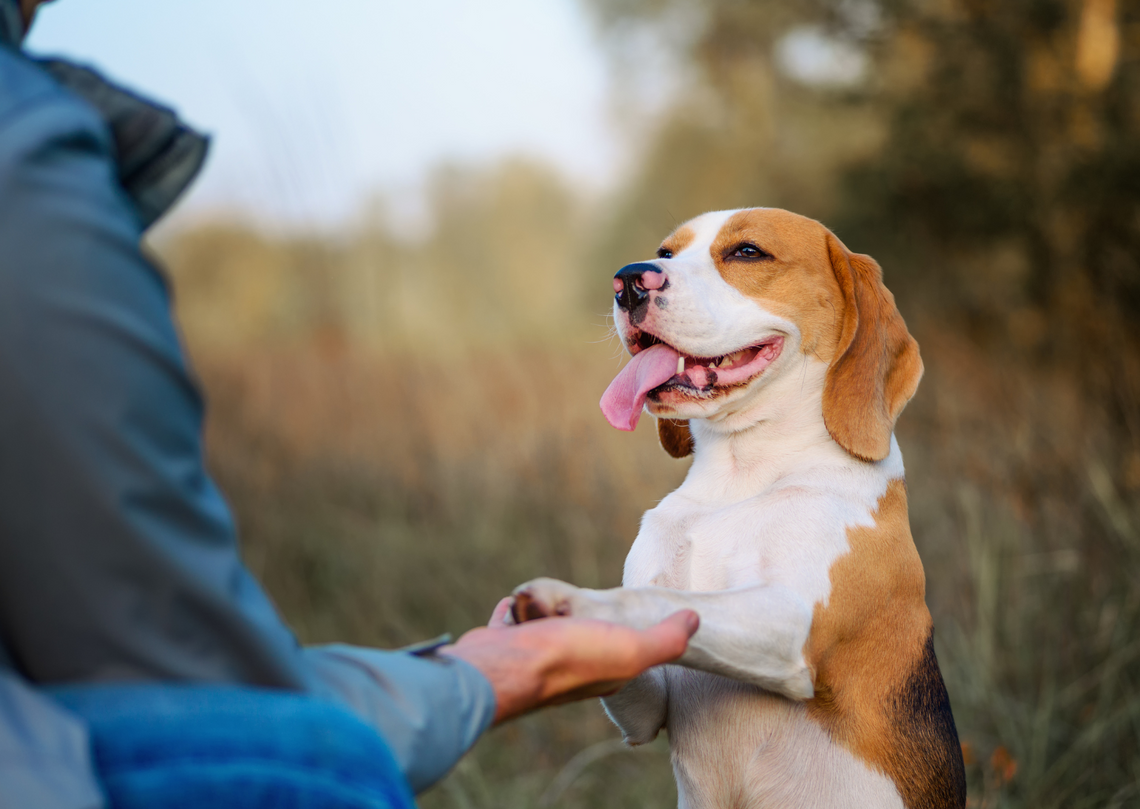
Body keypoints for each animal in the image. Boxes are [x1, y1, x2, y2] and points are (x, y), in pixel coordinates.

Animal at [513, 209, 966, 809]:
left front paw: (571, 601)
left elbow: (654, 598)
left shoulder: (787, 624)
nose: (629, 280)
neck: (741, 475)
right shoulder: (648, 709)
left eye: (747, 252)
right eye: (666, 251)